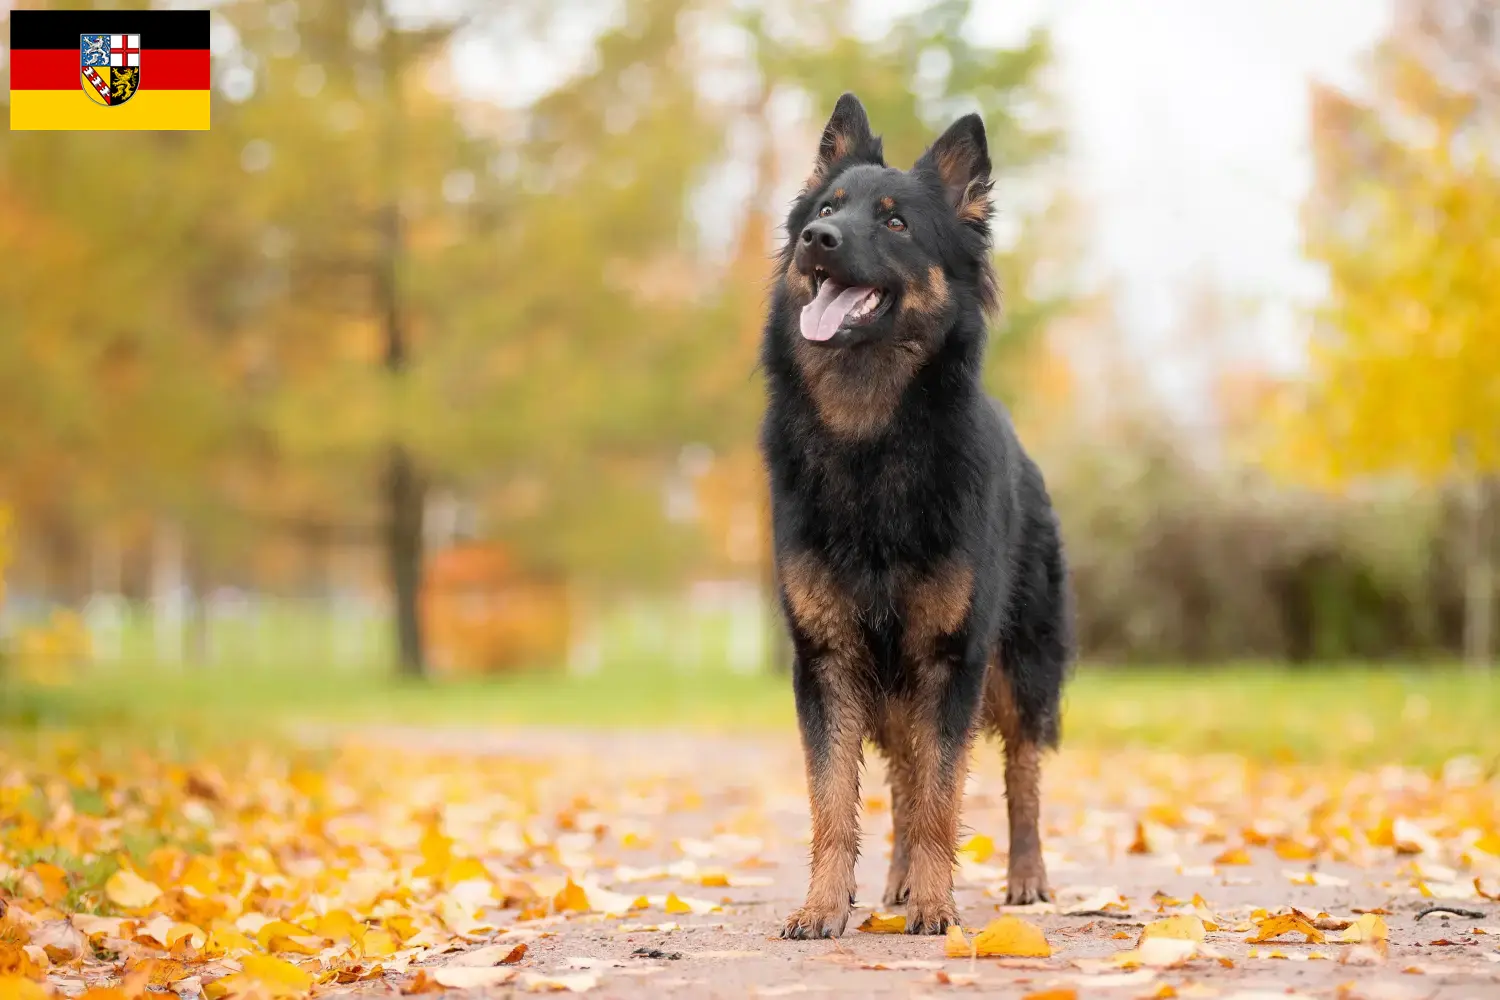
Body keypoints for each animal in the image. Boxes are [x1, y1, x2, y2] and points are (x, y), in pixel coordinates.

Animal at [762, 91, 1080, 941]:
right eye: (828, 209)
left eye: (896, 223)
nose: (819, 240)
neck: (871, 440)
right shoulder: (830, 661)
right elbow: (835, 801)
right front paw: (824, 905)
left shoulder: (950, 658)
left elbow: (945, 795)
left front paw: (939, 905)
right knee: (905, 775)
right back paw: (900, 882)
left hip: (1018, 669)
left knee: (1020, 773)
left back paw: (1025, 879)